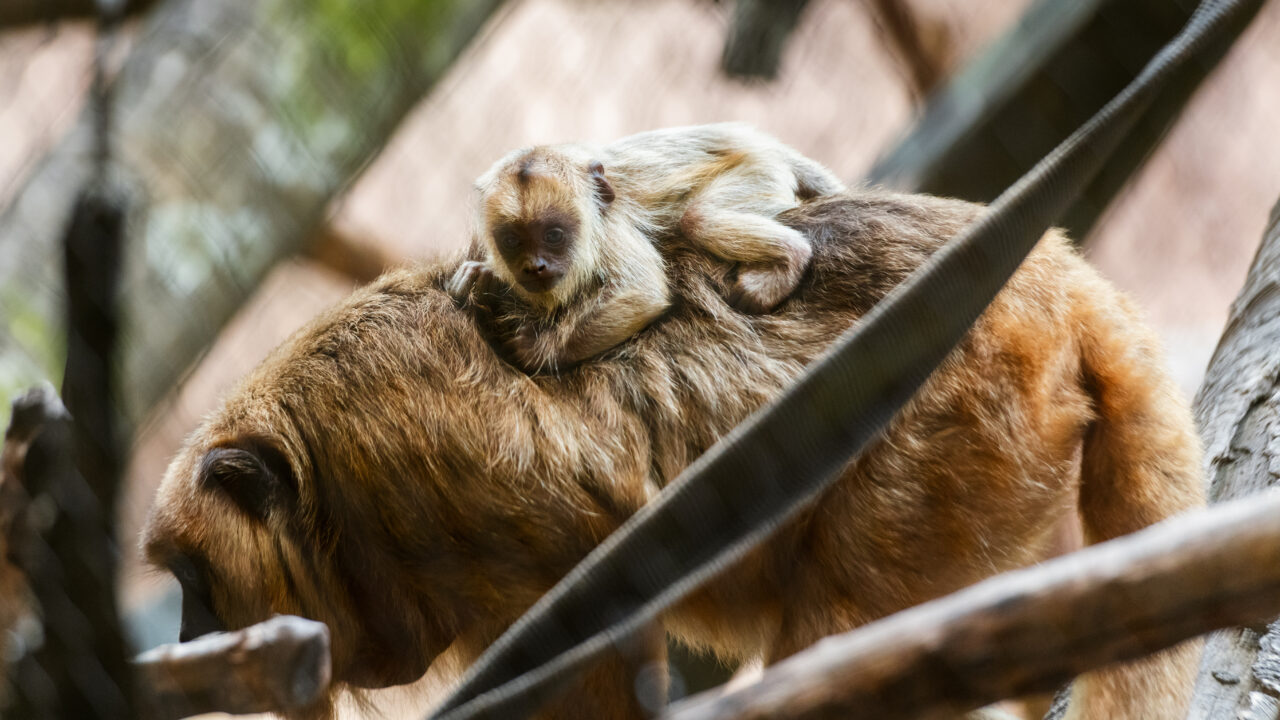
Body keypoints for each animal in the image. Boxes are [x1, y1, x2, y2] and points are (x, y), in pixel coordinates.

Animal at [143, 189, 1204, 719]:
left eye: (196, 583)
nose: (187, 636)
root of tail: (1058, 278)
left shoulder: (398, 437)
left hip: (956, 420)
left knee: (850, 611)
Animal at [447, 123, 845, 372]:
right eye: (513, 241)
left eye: (554, 235)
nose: (535, 266)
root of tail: (760, 143)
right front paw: (480, 276)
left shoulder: (609, 229)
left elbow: (642, 292)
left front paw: (541, 350)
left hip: (758, 173)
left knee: (698, 218)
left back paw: (791, 257)